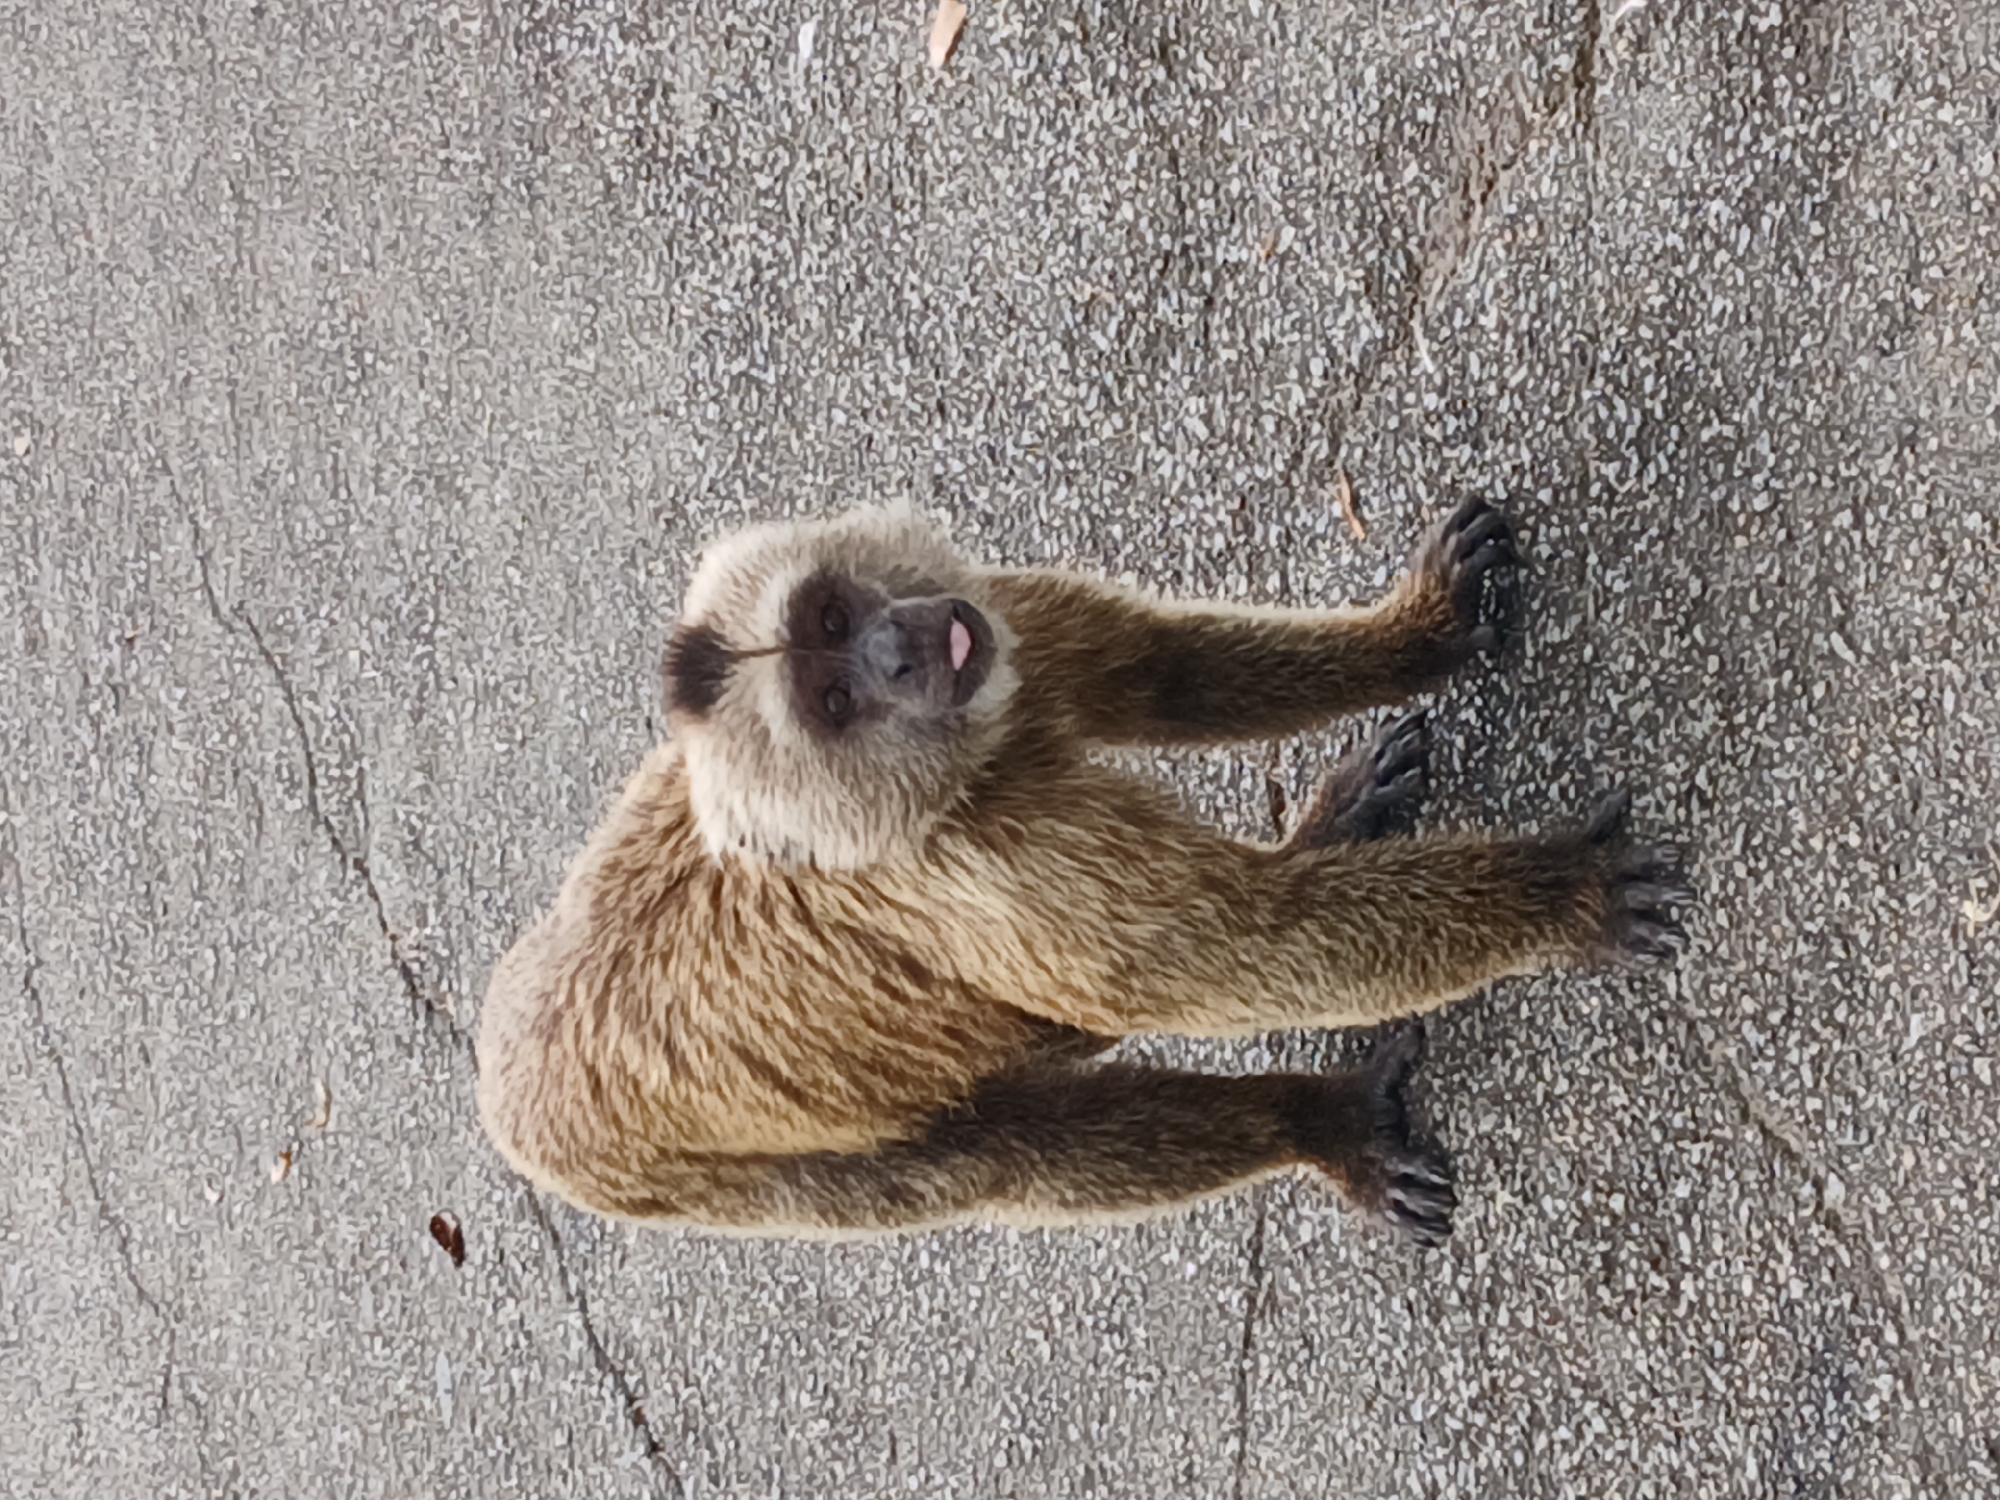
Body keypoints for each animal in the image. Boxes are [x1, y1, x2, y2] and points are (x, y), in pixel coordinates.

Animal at [475, 500, 1690, 1247]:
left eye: (830, 616)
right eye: (833, 700)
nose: (896, 652)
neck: (942, 785)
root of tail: (501, 1097)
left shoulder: (998, 623)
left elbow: (1163, 674)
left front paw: (1419, 631)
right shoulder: (991, 868)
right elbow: (1249, 955)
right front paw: (1559, 899)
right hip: (693, 1176)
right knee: (1008, 1156)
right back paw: (1315, 1122)